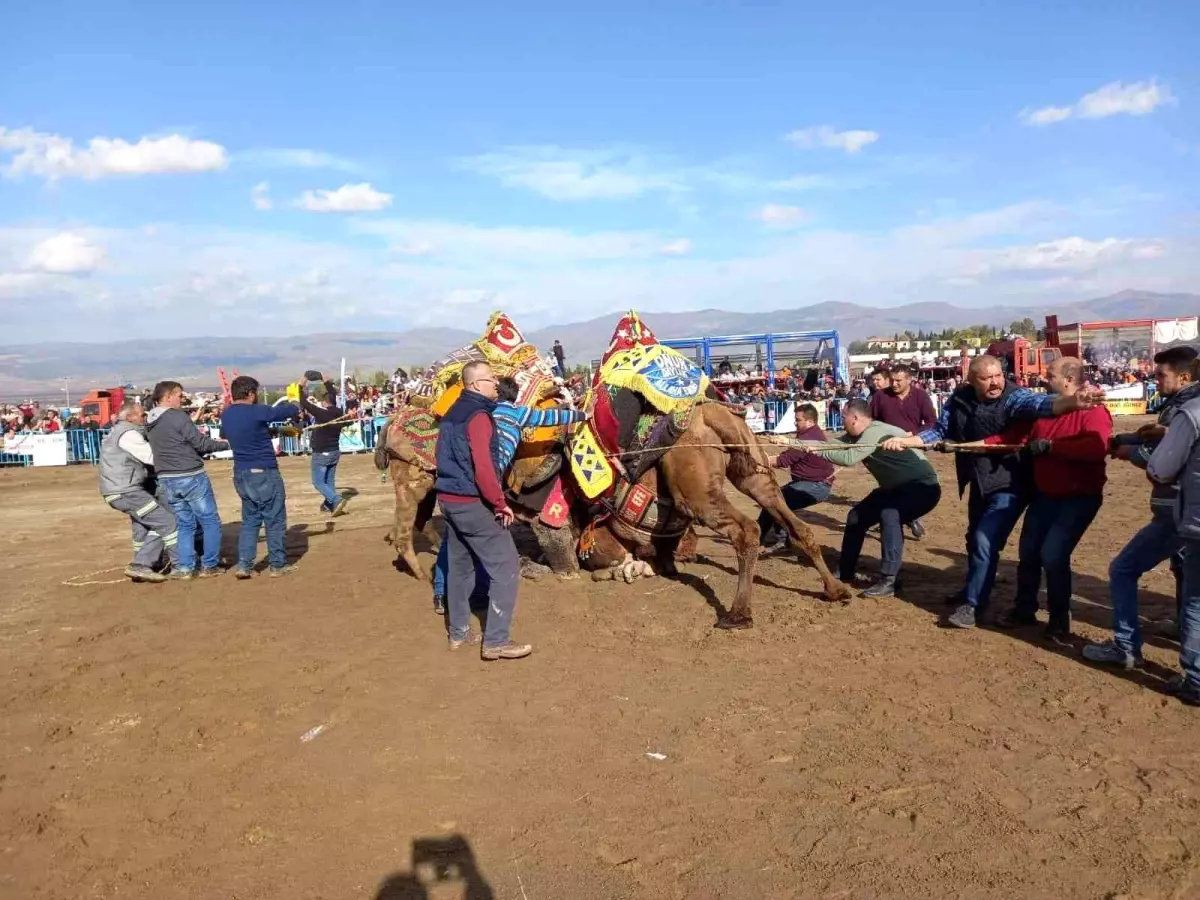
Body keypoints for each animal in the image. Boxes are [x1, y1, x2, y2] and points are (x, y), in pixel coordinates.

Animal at [374, 398, 854, 628]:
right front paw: (635, 569)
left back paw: (737, 614)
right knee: (795, 523)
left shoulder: (556, 522)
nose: (390, 454)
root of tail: (718, 417)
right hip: (750, 468)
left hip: (697, 487)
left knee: (746, 530)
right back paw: (835, 590)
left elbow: (562, 561)